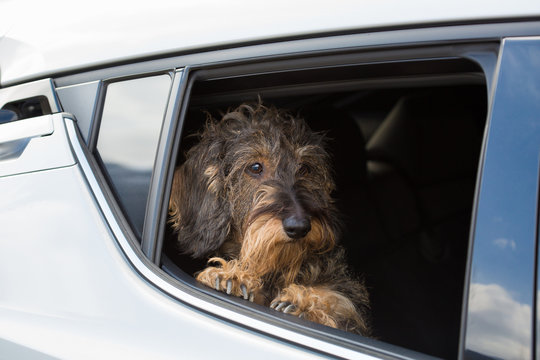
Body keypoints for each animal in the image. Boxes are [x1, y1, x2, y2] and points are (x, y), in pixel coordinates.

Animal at [169, 101, 372, 334]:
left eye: (305, 168)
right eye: (255, 167)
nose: (299, 227)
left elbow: (341, 302)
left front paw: (304, 303)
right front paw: (231, 276)